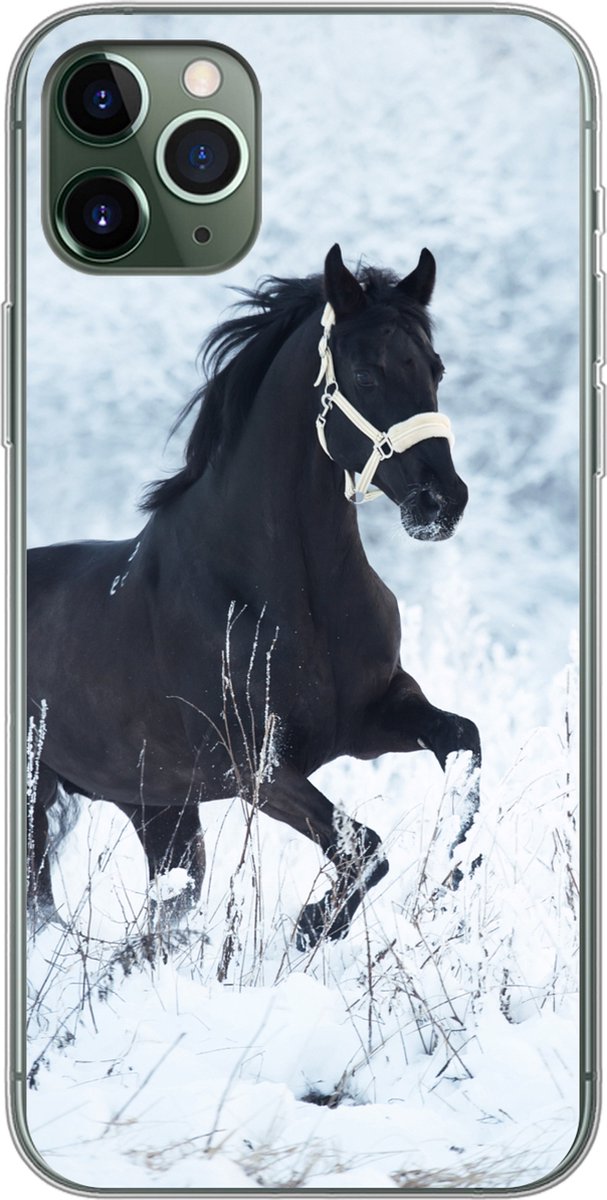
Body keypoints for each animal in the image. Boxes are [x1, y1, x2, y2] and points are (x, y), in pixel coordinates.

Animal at [27, 244, 481, 948]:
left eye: (434, 367)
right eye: (365, 374)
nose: (442, 502)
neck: (294, 593)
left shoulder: (376, 716)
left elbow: (464, 743)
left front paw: (449, 880)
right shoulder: (253, 766)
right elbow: (363, 847)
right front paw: (313, 926)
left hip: (160, 811)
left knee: (162, 905)